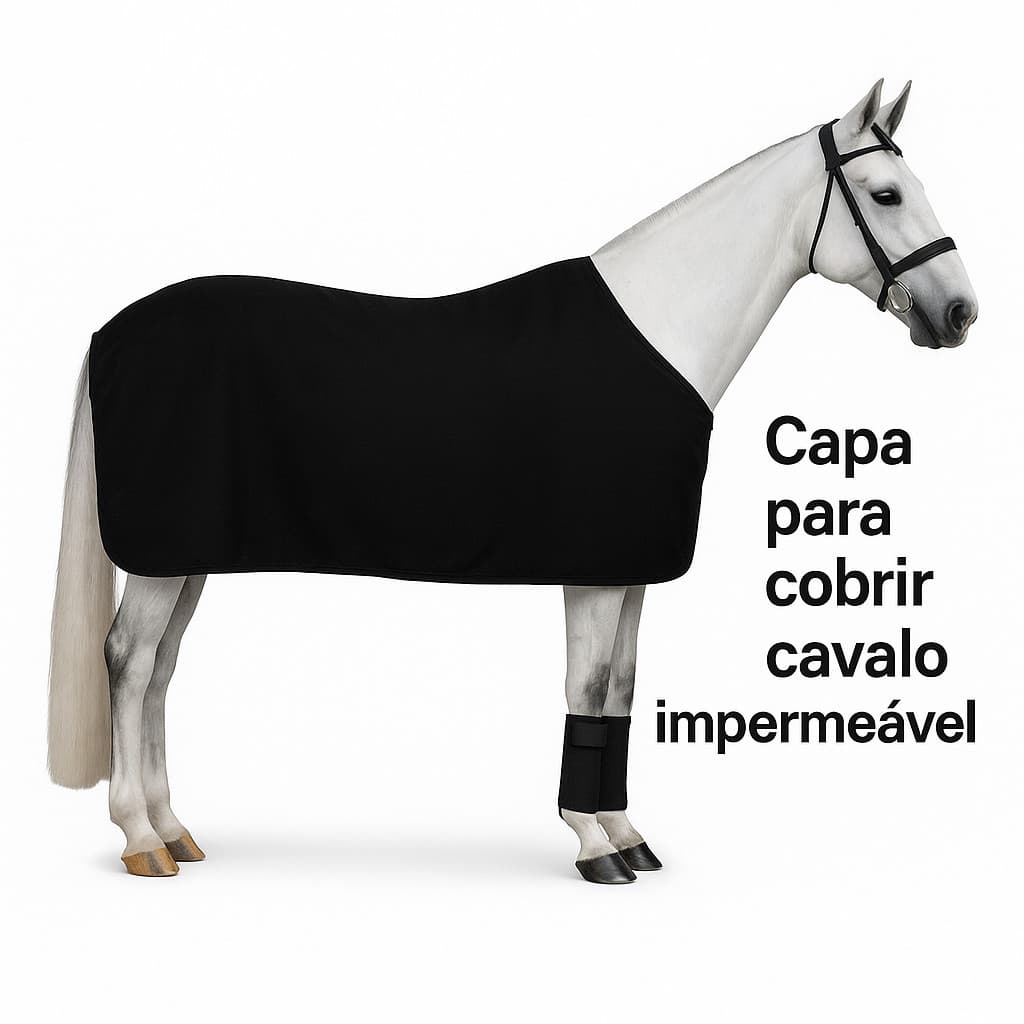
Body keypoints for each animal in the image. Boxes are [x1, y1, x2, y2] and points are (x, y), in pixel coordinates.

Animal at [48, 80, 978, 883]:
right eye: (886, 194)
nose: (962, 314)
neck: (658, 329)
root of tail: (110, 333)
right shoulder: (592, 574)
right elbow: (589, 687)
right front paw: (594, 846)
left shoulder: (630, 570)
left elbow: (620, 691)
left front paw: (628, 836)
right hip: (165, 557)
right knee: (130, 662)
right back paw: (140, 838)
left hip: (188, 555)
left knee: (159, 669)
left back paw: (175, 830)